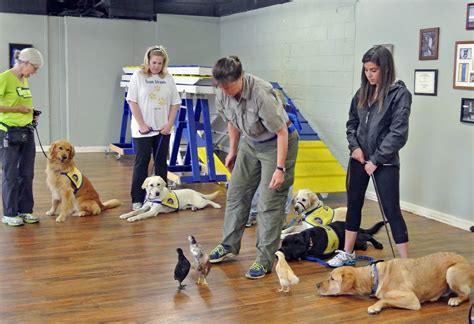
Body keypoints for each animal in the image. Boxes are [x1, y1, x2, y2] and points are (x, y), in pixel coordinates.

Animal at [316, 252, 472, 316]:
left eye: (332, 279)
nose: (316, 285)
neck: (374, 276)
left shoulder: (412, 299)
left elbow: (384, 299)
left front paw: (374, 307)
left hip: (451, 271)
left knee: (467, 295)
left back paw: (456, 300)